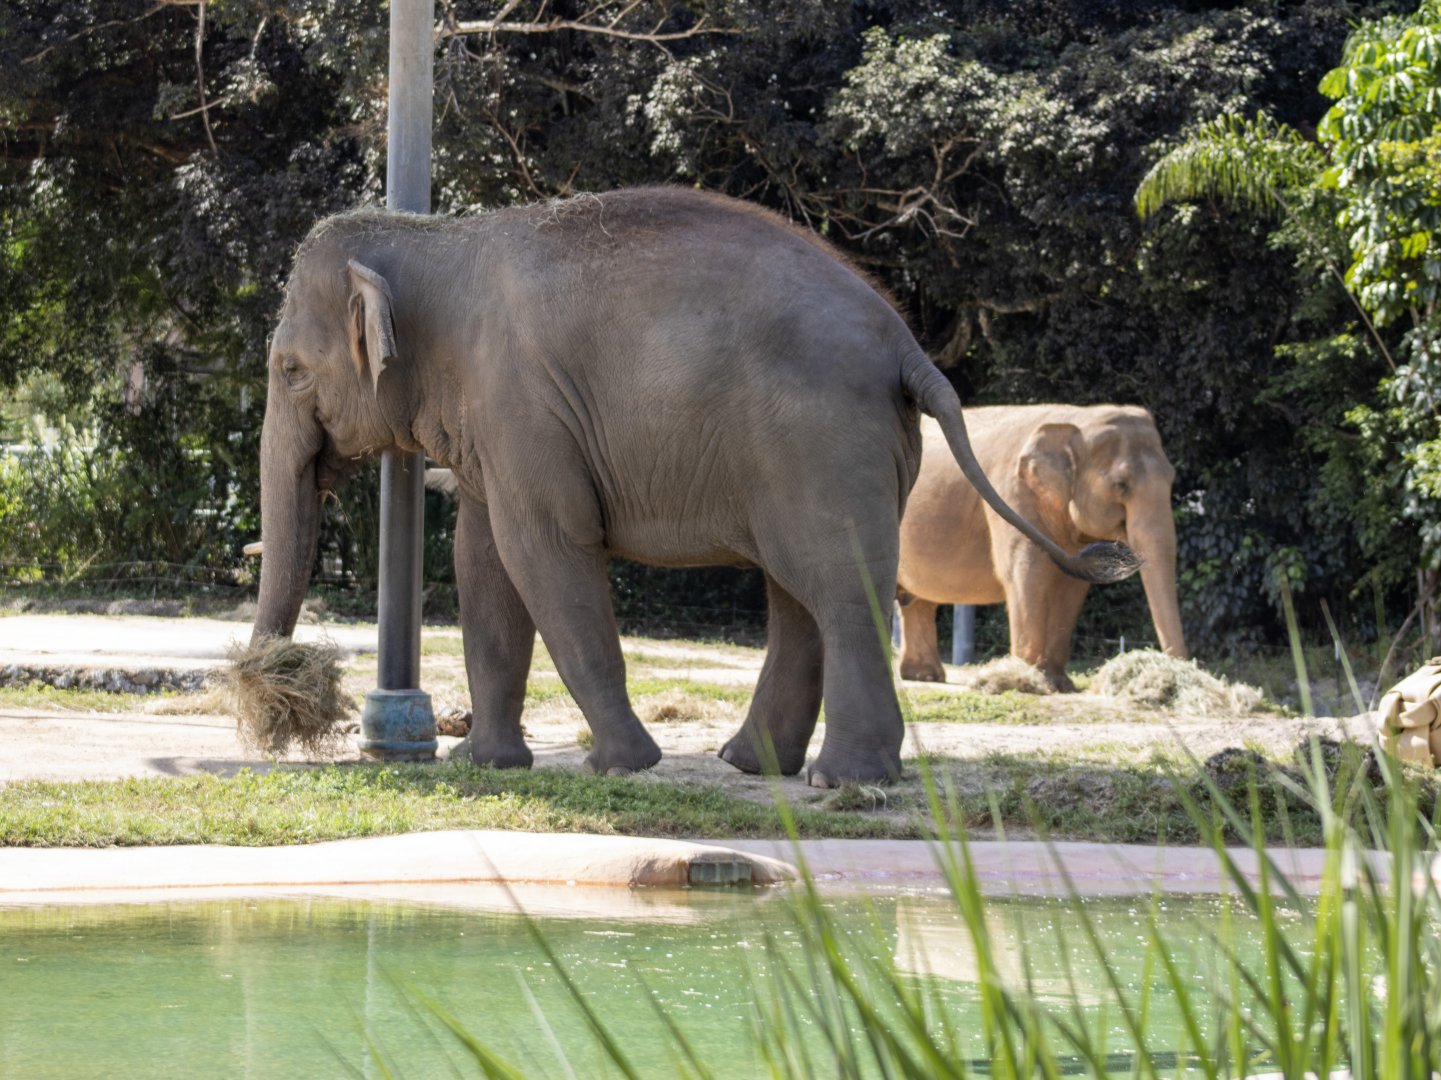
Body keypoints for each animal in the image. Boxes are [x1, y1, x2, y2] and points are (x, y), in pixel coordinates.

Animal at [250, 187, 1138, 786]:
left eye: (290, 371)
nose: (266, 689)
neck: (435, 240)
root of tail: (905, 346)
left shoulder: (521, 404)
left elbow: (544, 552)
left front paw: (620, 766)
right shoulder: (496, 425)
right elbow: (485, 563)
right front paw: (486, 764)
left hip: (820, 440)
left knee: (834, 589)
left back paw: (842, 779)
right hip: (823, 452)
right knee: (796, 595)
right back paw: (754, 765)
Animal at [896, 404, 1186, 692]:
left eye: (1173, 478)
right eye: (1121, 485)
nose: (1177, 672)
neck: (1076, 419)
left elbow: (1072, 586)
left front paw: (1059, 685)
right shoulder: (1014, 493)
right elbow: (1028, 574)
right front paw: (1027, 683)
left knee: (917, 602)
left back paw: (924, 676)